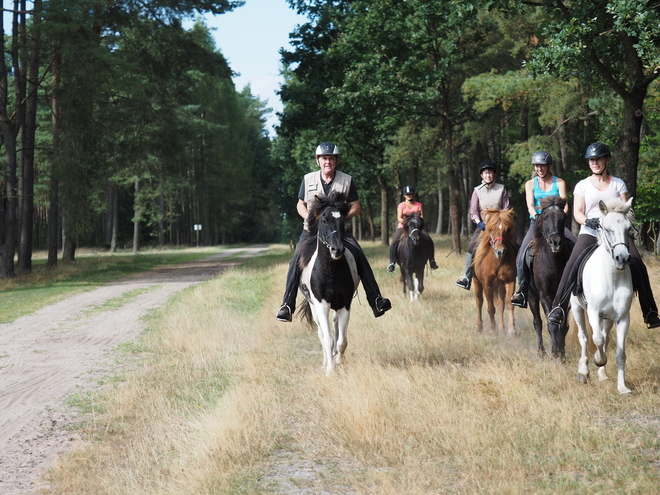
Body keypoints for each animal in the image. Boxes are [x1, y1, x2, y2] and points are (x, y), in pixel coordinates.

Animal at [300, 192, 360, 374]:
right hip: (313, 307)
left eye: (342, 220)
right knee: (321, 333)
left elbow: (341, 341)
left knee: (336, 326)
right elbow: (327, 339)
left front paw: (339, 360)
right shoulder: (321, 304)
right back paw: (326, 362)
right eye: (324, 220)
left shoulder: (345, 305)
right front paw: (330, 370)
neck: (330, 272)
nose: (337, 250)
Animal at [472, 207, 520, 336]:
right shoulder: (487, 284)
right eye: (492, 229)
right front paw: (493, 330)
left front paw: (511, 330)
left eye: (507, 229)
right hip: (477, 282)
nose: (500, 251)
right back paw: (479, 326)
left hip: (500, 286)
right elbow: (490, 308)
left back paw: (501, 327)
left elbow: (508, 304)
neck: (497, 261)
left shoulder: (509, 281)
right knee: (479, 302)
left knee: (500, 304)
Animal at [528, 196, 576, 358]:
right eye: (545, 217)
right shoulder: (545, 295)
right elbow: (551, 324)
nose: (555, 242)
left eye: (563, 217)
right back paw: (541, 352)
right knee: (537, 322)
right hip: (531, 296)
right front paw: (555, 353)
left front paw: (562, 352)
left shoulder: (564, 296)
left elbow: (563, 326)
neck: (553, 261)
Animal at [568, 198, 636, 396]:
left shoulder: (622, 317)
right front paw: (599, 360)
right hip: (578, 308)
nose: (622, 258)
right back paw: (583, 372)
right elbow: (595, 339)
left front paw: (622, 388)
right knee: (584, 337)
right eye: (607, 229)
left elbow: (620, 353)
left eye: (628, 228)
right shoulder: (593, 312)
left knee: (604, 337)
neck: (612, 277)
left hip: (608, 318)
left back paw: (602, 374)